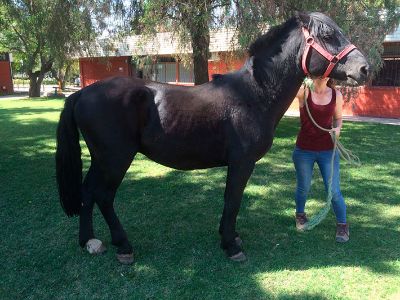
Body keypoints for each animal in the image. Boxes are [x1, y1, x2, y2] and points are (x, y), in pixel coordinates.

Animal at [55, 12, 368, 264]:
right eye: (327, 36)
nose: (364, 68)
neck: (254, 94)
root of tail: (82, 93)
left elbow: (231, 200)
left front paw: (231, 237)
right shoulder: (241, 163)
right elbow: (233, 199)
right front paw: (231, 246)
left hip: (101, 160)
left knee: (87, 192)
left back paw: (89, 242)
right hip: (115, 159)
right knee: (104, 196)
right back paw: (124, 247)